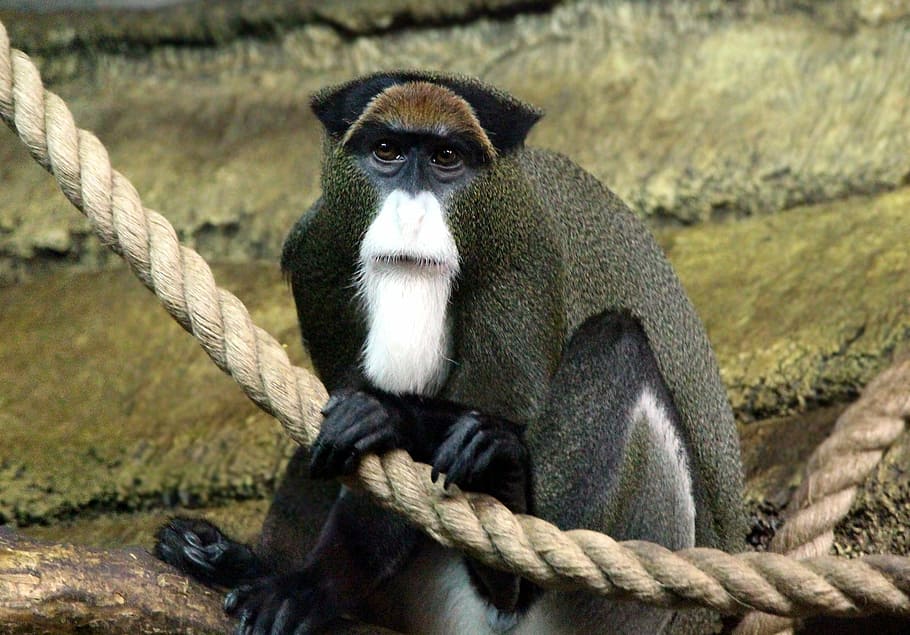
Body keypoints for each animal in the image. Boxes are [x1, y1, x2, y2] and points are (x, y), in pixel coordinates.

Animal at [155, 71, 745, 635]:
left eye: (446, 158)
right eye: (387, 151)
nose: (411, 216)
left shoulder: (523, 261)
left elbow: (500, 413)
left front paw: (313, 585)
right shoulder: (319, 247)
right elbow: (342, 424)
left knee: (617, 346)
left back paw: (505, 557)